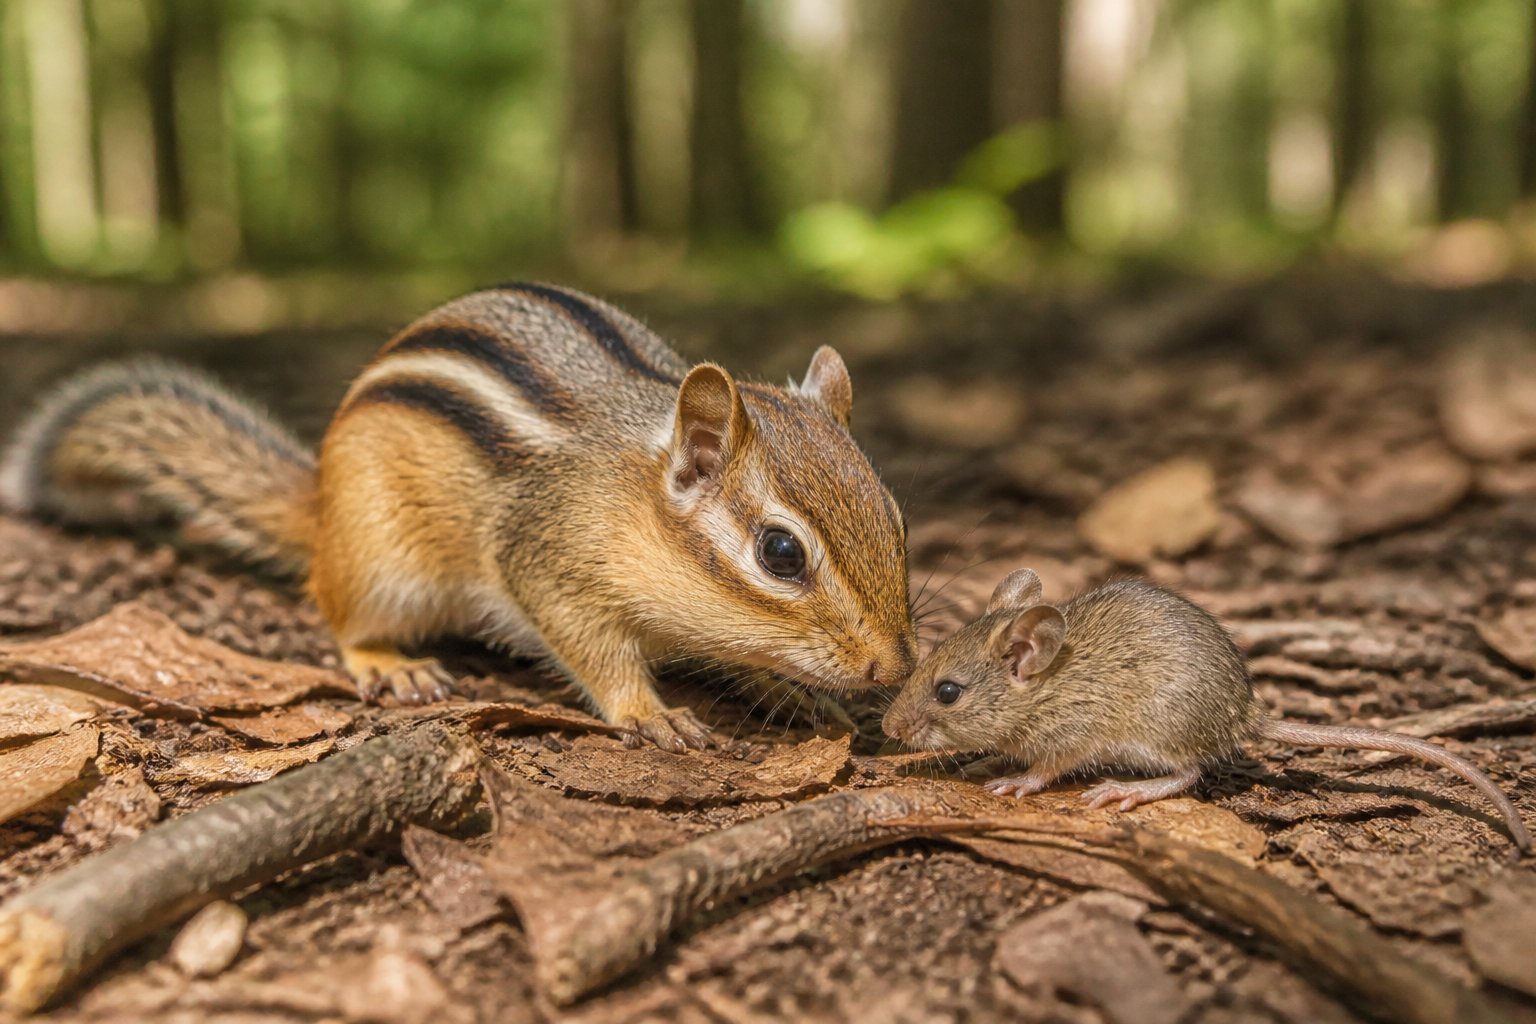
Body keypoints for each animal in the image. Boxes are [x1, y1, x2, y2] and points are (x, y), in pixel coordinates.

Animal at [2, 283, 918, 751]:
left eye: (898, 520)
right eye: (780, 553)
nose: (894, 668)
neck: (633, 497)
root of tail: (321, 509)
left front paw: (794, 693)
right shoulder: (547, 562)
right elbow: (595, 652)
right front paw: (650, 711)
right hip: (383, 564)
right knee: (341, 616)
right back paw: (389, 663)